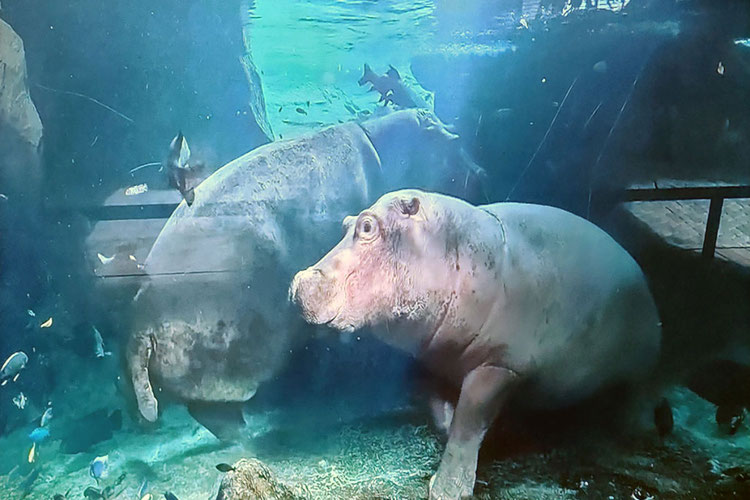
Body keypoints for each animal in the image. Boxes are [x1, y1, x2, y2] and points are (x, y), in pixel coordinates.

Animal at [290, 189, 661, 499]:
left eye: (367, 226)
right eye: (345, 223)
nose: (297, 281)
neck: (450, 244)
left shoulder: (501, 365)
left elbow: (467, 424)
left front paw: (445, 491)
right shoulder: (432, 359)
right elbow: (443, 416)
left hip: (642, 363)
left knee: (639, 395)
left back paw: (639, 433)